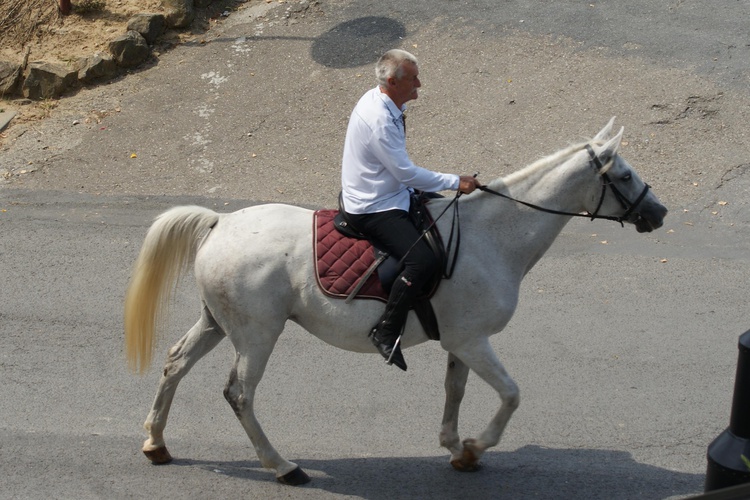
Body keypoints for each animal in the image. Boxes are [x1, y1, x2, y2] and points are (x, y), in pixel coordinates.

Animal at [125, 117, 668, 484]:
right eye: (622, 176)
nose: (659, 213)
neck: (489, 236)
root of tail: (220, 221)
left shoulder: (461, 342)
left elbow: (455, 391)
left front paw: (456, 448)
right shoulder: (474, 341)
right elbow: (511, 394)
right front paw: (477, 446)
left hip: (218, 324)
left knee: (175, 364)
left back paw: (156, 442)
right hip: (257, 335)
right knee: (239, 394)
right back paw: (282, 466)